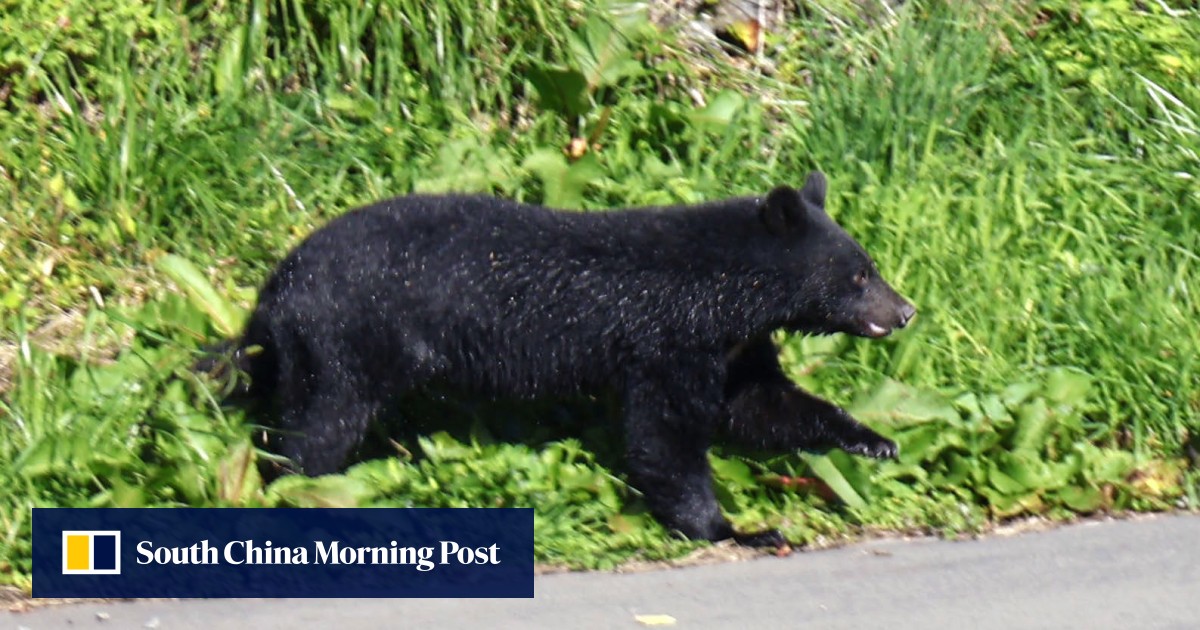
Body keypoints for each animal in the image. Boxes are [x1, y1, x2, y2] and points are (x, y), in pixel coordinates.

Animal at [217, 171, 915, 548]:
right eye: (858, 275)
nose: (905, 309)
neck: (724, 291)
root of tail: (273, 291)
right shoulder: (667, 341)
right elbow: (665, 438)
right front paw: (732, 528)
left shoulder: (733, 347)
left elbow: (761, 404)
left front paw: (872, 439)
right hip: (344, 341)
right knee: (317, 430)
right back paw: (297, 494)